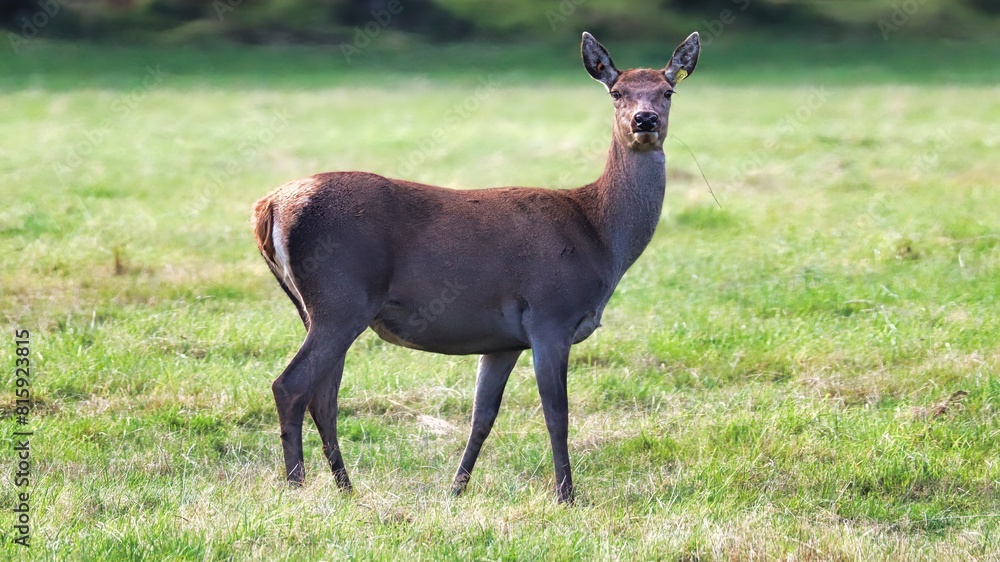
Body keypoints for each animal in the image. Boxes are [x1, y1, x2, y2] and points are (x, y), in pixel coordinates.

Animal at [250, 31, 700, 504]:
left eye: (668, 91)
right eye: (616, 93)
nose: (645, 120)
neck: (598, 238)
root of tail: (269, 207)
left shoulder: (503, 340)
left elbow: (482, 416)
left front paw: (456, 489)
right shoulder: (550, 315)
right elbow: (556, 416)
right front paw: (566, 496)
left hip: (315, 307)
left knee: (323, 396)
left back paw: (346, 487)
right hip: (340, 299)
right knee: (291, 385)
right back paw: (296, 485)